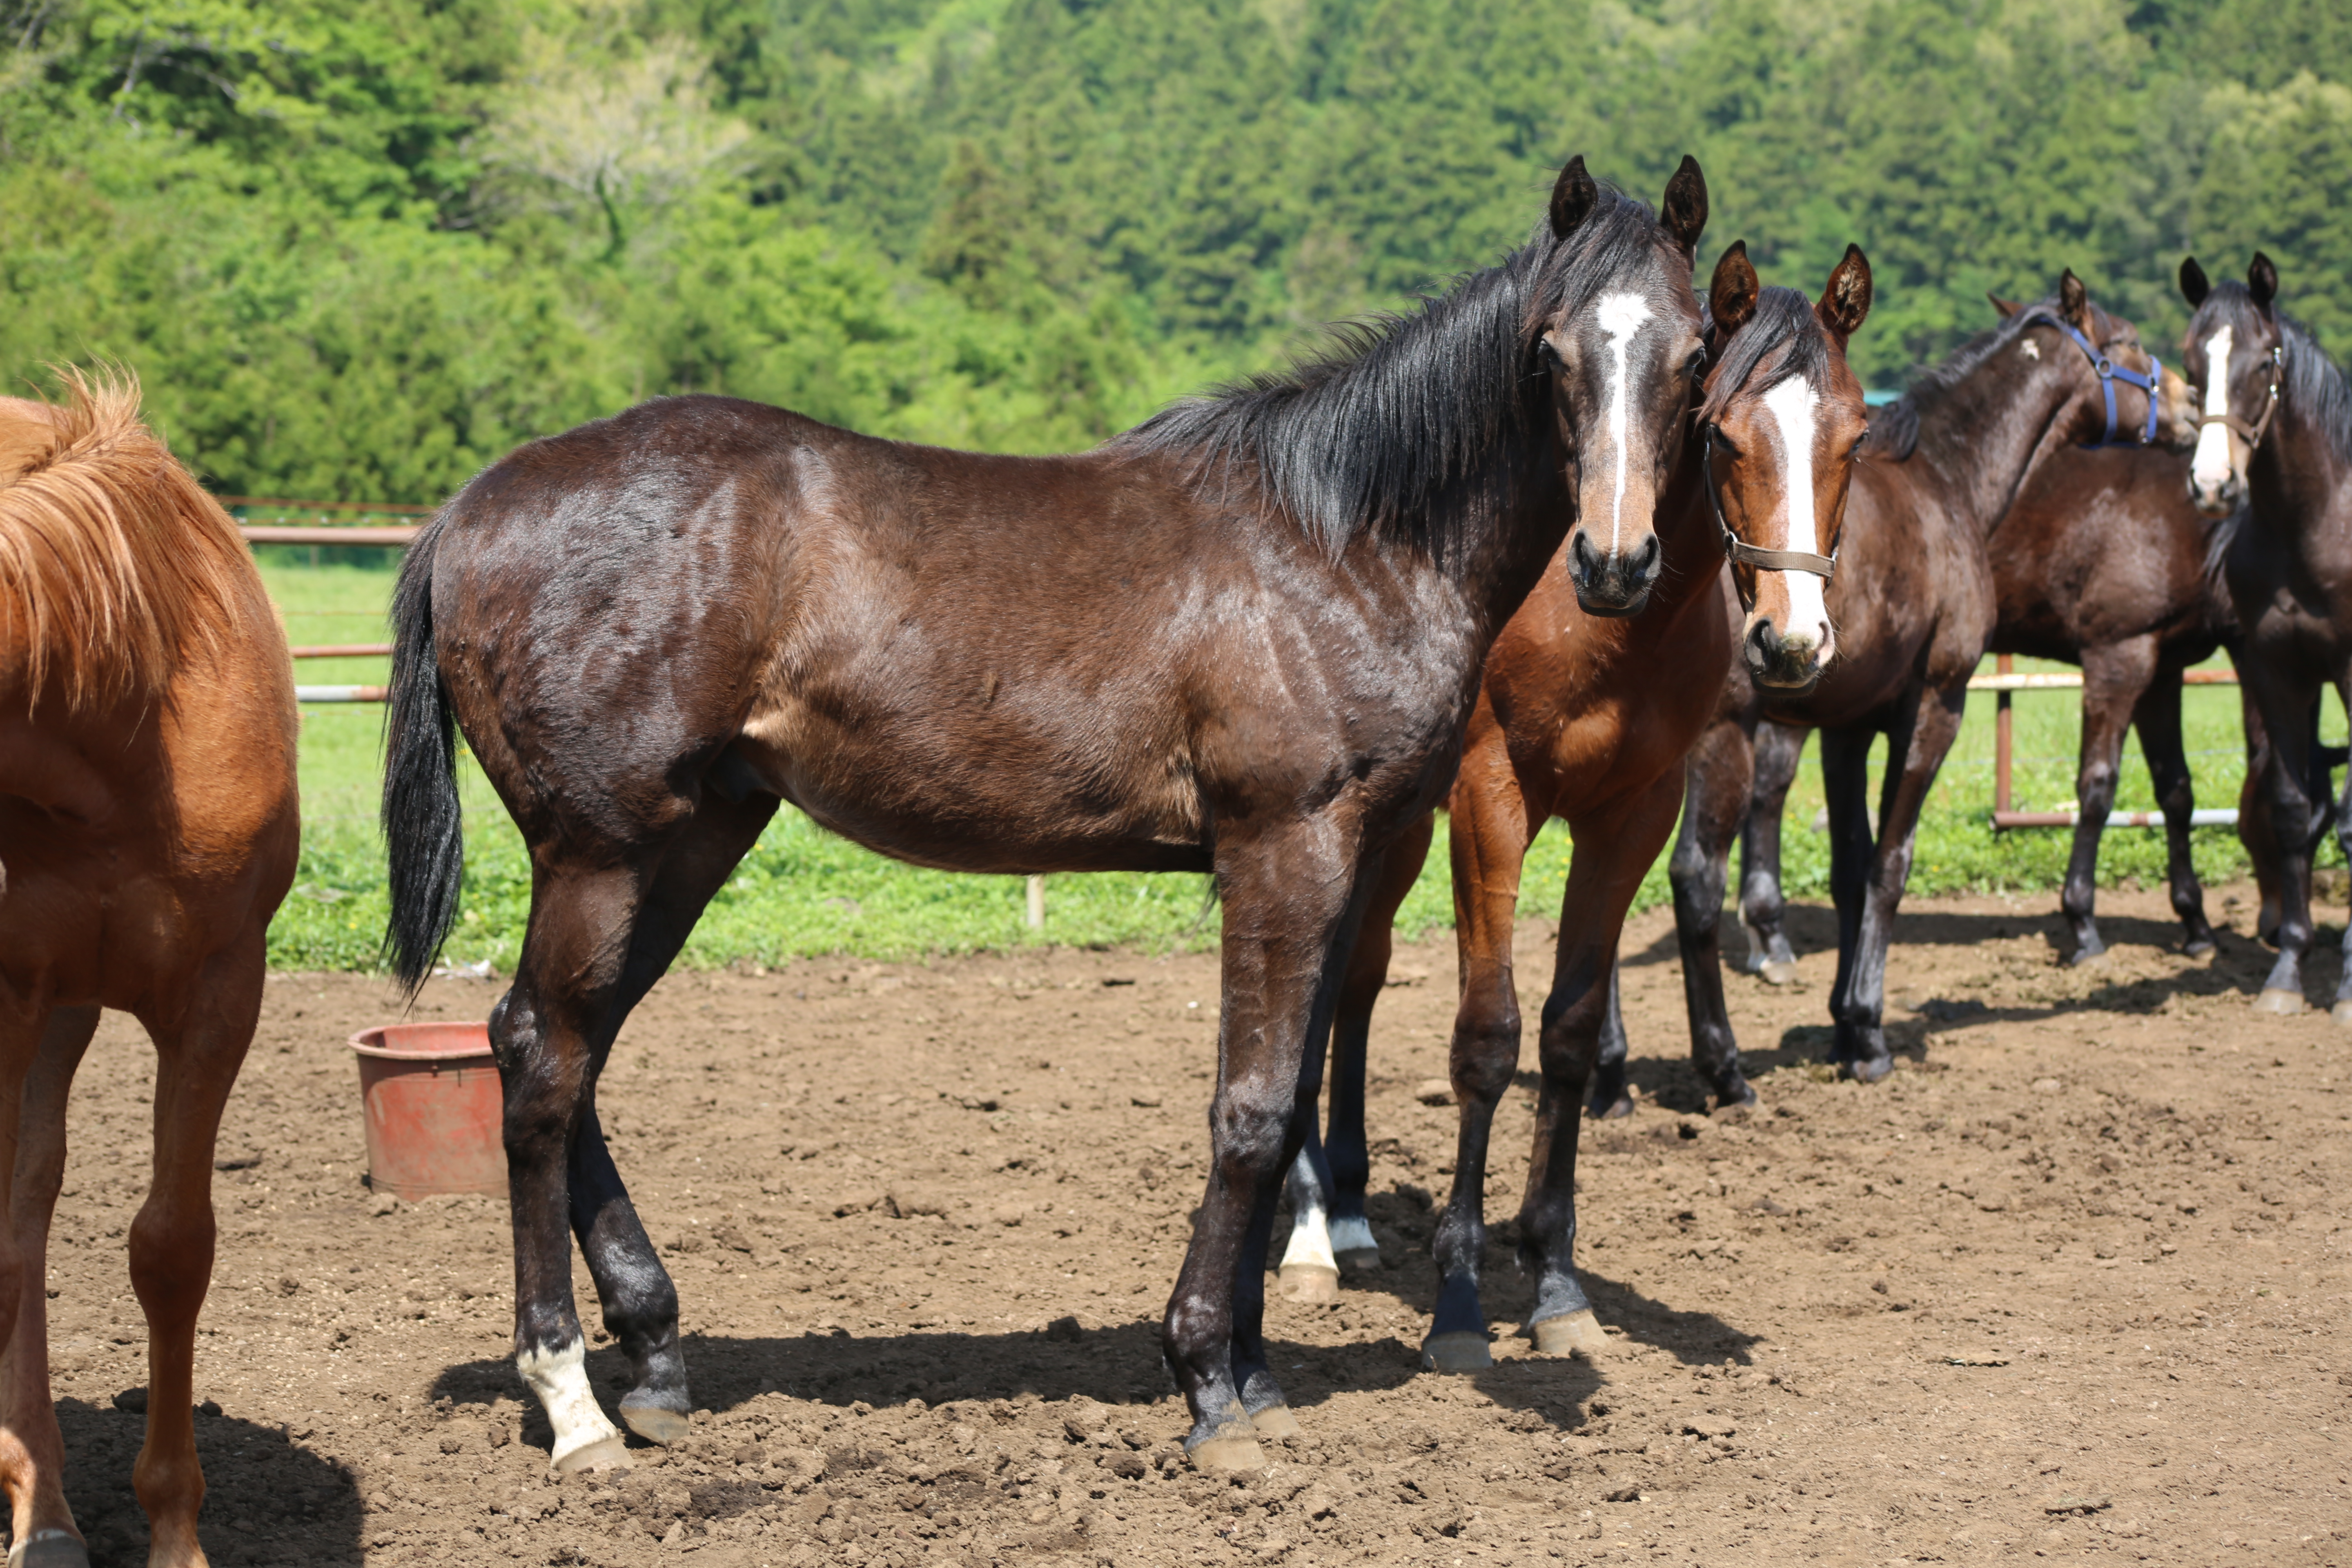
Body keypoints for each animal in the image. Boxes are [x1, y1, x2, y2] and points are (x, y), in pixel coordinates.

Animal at [381, 160, 1712, 1476]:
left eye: (1694, 354)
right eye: (1550, 352)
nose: (1614, 565)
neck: (1338, 541)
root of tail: (469, 511)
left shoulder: (1349, 860)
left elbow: (1284, 1114)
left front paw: (1257, 1372)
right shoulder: (1283, 849)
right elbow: (1250, 1111)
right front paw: (1209, 1384)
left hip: (692, 838)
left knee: (570, 1051)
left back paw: (655, 1357)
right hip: (603, 850)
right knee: (543, 1060)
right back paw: (572, 1402)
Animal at [1279, 248, 1862, 1373]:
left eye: (1854, 435)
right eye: (1722, 432)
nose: (1790, 640)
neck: (1605, 623)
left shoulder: (1632, 813)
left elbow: (1567, 1033)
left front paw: (1553, 1280)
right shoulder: (1489, 801)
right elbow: (1487, 1038)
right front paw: (1460, 1301)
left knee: (1359, 978)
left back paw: (1351, 1212)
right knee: (1329, 987)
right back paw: (1309, 1233)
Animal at [1646, 272, 2192, 1105]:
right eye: (2127, 343)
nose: (2193, 404)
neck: (1946, 477)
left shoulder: (1847, 726)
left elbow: (1850, 870)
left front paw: (1843, 1026)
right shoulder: (1936, 706)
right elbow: (1889, 865)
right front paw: (1868, 1031)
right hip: (1723, 737)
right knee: (1692, 878)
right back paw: (1721, 1066)